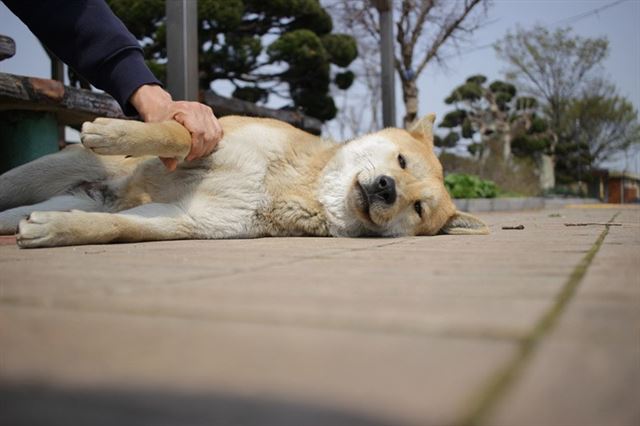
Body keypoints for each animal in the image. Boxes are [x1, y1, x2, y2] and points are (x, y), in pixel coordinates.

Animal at [0, 113, 484, 248]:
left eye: (417, 209)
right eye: (401, 161)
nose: (388, 188)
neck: (294, 183)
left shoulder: (185, 219)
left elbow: (118, 227)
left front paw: (57, 230)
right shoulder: (210, 139)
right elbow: (173, 134)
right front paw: (115, 132)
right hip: (51, 168)